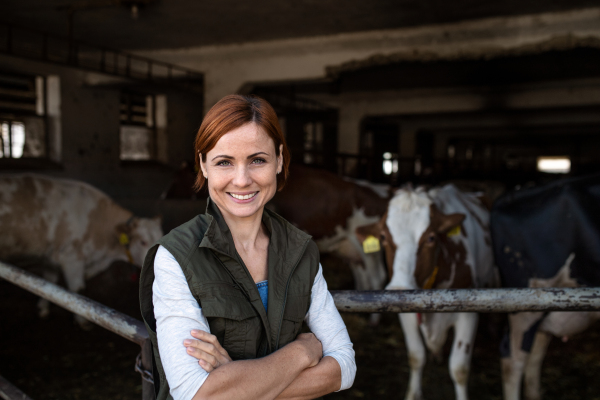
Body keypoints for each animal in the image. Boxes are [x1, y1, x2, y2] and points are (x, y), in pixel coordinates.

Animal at [0, 173, 164, 324]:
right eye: (143, 242)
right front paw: (83, 321)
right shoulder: (71, 257)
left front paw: (43, 309)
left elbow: (48, 281)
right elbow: (77, 291)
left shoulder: (51, 256)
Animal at [356, 185, 496, 400]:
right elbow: (416, 357)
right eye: (383, 237)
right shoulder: (406, 316)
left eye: (431, 238)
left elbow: (459, 369)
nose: (399, 289)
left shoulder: (469, 314)